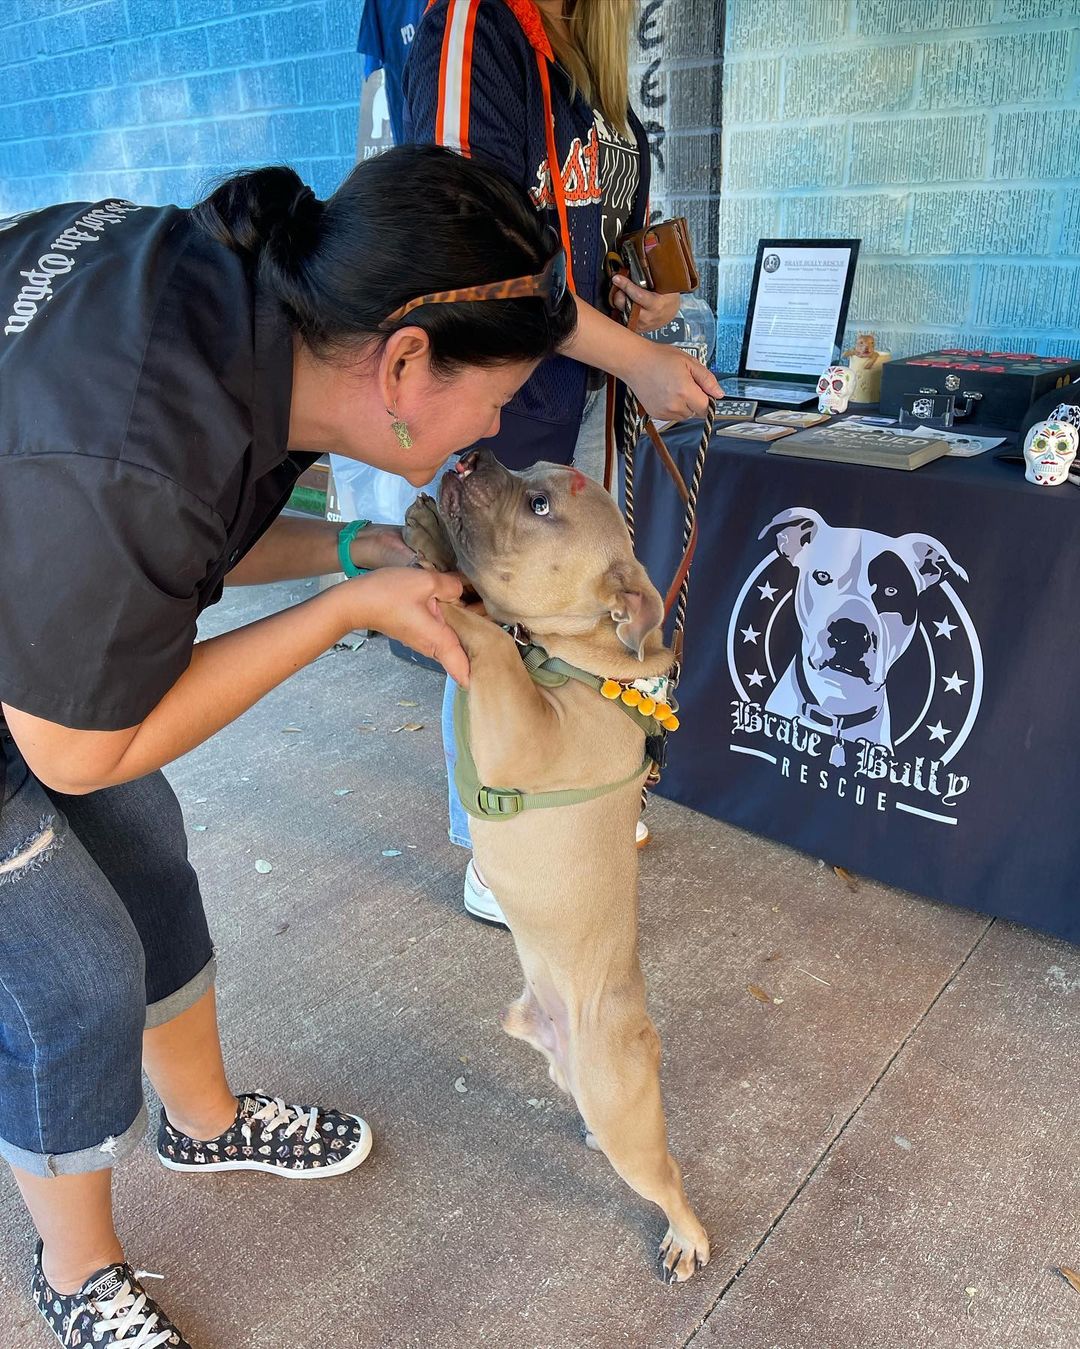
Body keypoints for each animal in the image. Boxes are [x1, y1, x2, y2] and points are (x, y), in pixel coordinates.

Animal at [404, 447, 706, 1278]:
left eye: (541, 505)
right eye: (528, 472)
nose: (473, 453)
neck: (582, 658)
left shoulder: (524, 729)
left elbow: (487, 634)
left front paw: (455, 583)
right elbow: (483, 617)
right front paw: (435, 542)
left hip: (627, 1113)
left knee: (668, 1176)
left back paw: (687, 1237)